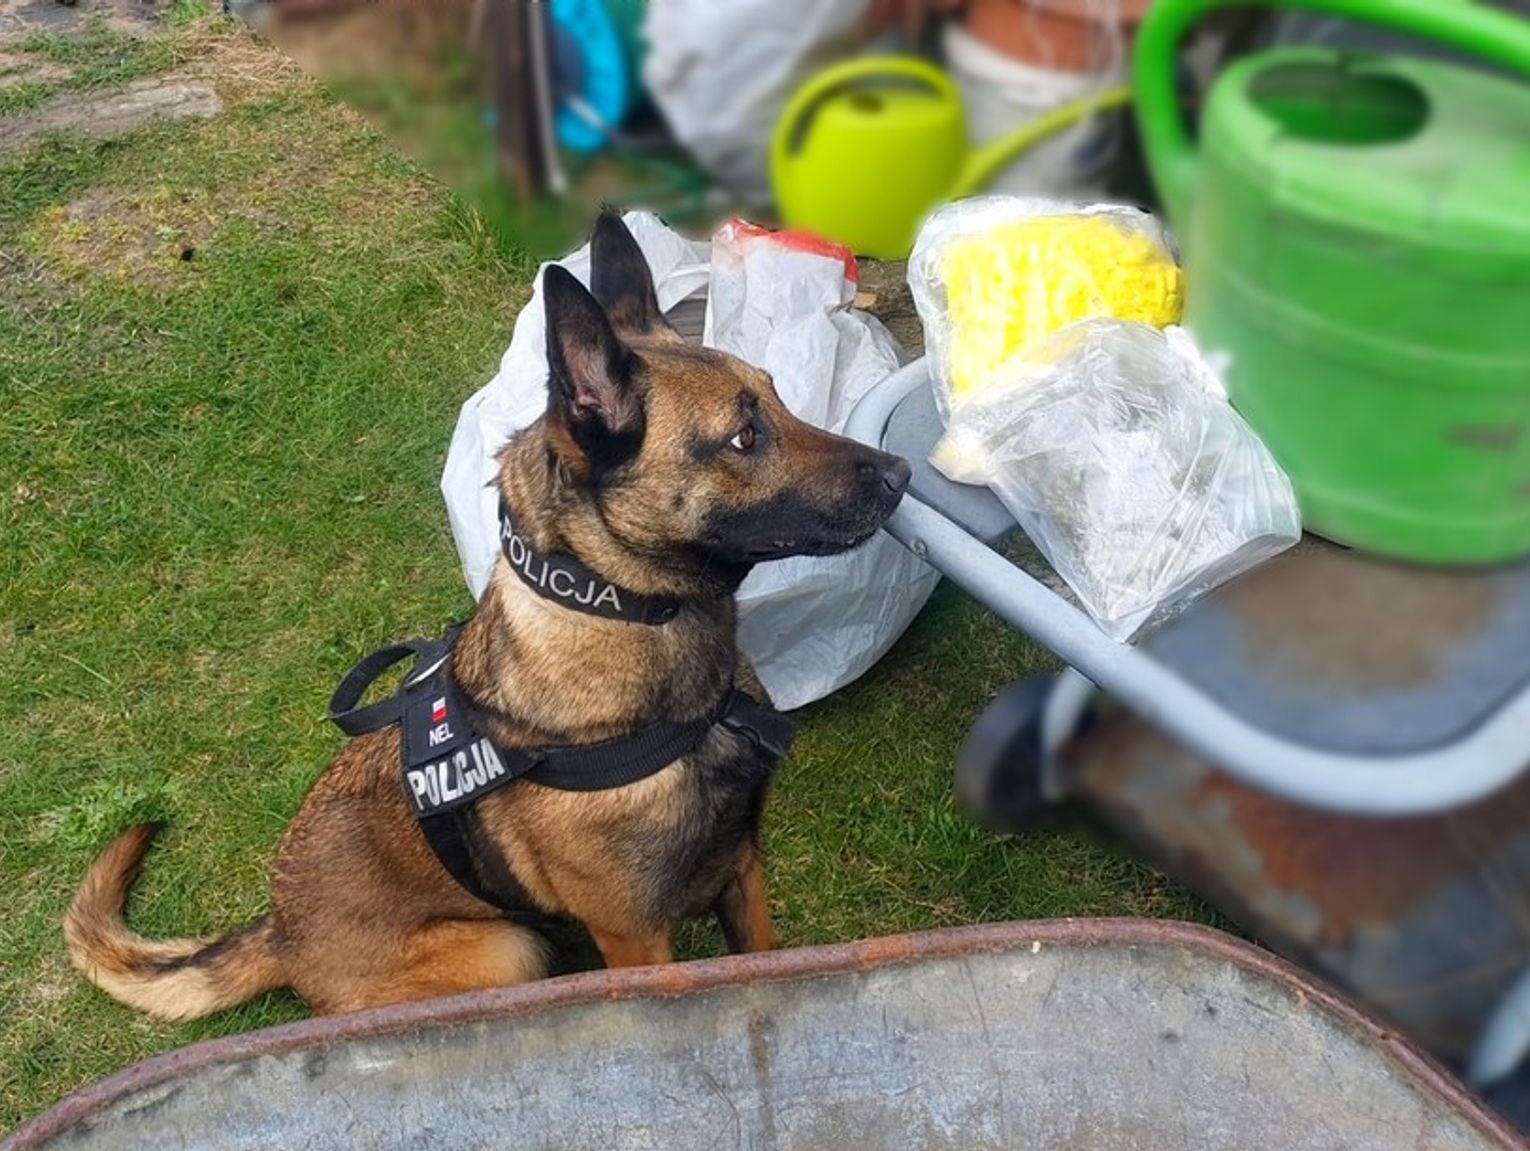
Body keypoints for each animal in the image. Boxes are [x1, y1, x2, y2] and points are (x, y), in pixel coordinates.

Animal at [65, 211, 905, 1022]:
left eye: (780, 399)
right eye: (744, 436)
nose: (901, 473)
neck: (629, 617)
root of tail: (281, 933)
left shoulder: (742, 870)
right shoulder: (636, 938)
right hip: (507, 949)